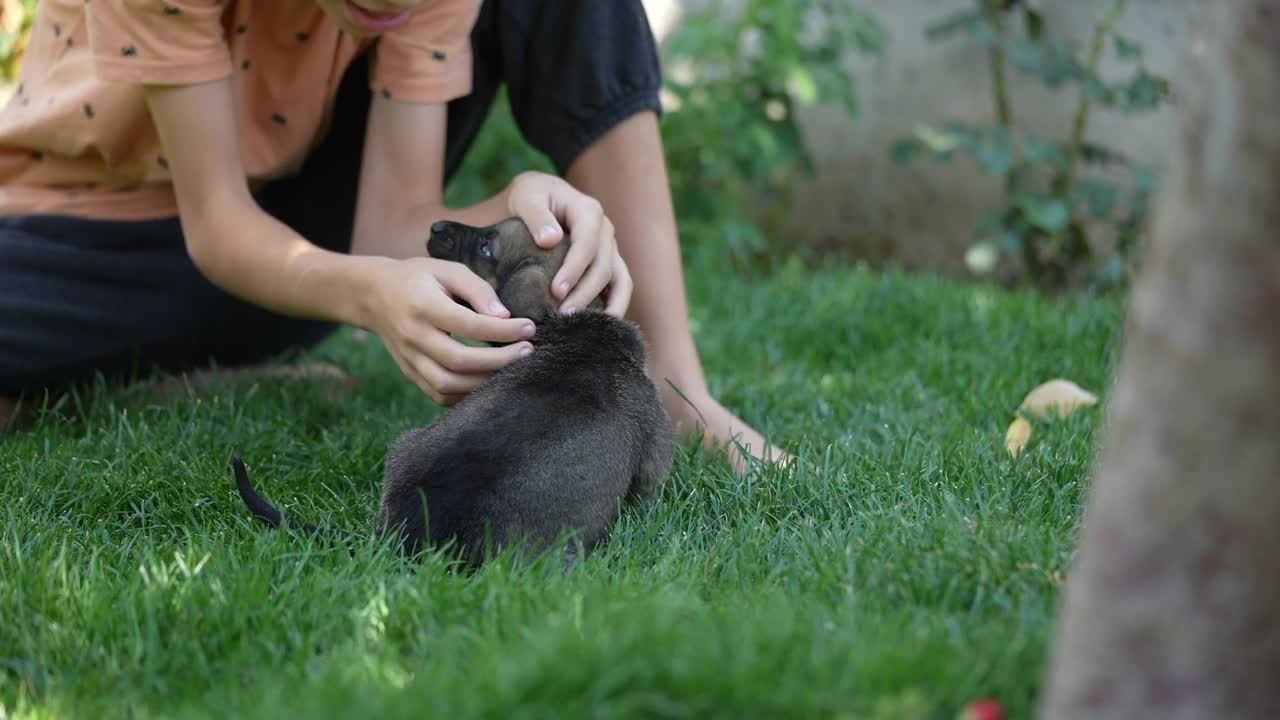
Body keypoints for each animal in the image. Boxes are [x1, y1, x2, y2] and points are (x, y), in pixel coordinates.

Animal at [234, 217, 675, 566]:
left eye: (485, 248)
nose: (436, 226)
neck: (573, 328)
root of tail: (407, 534)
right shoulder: (655, 452)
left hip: (404, 448)